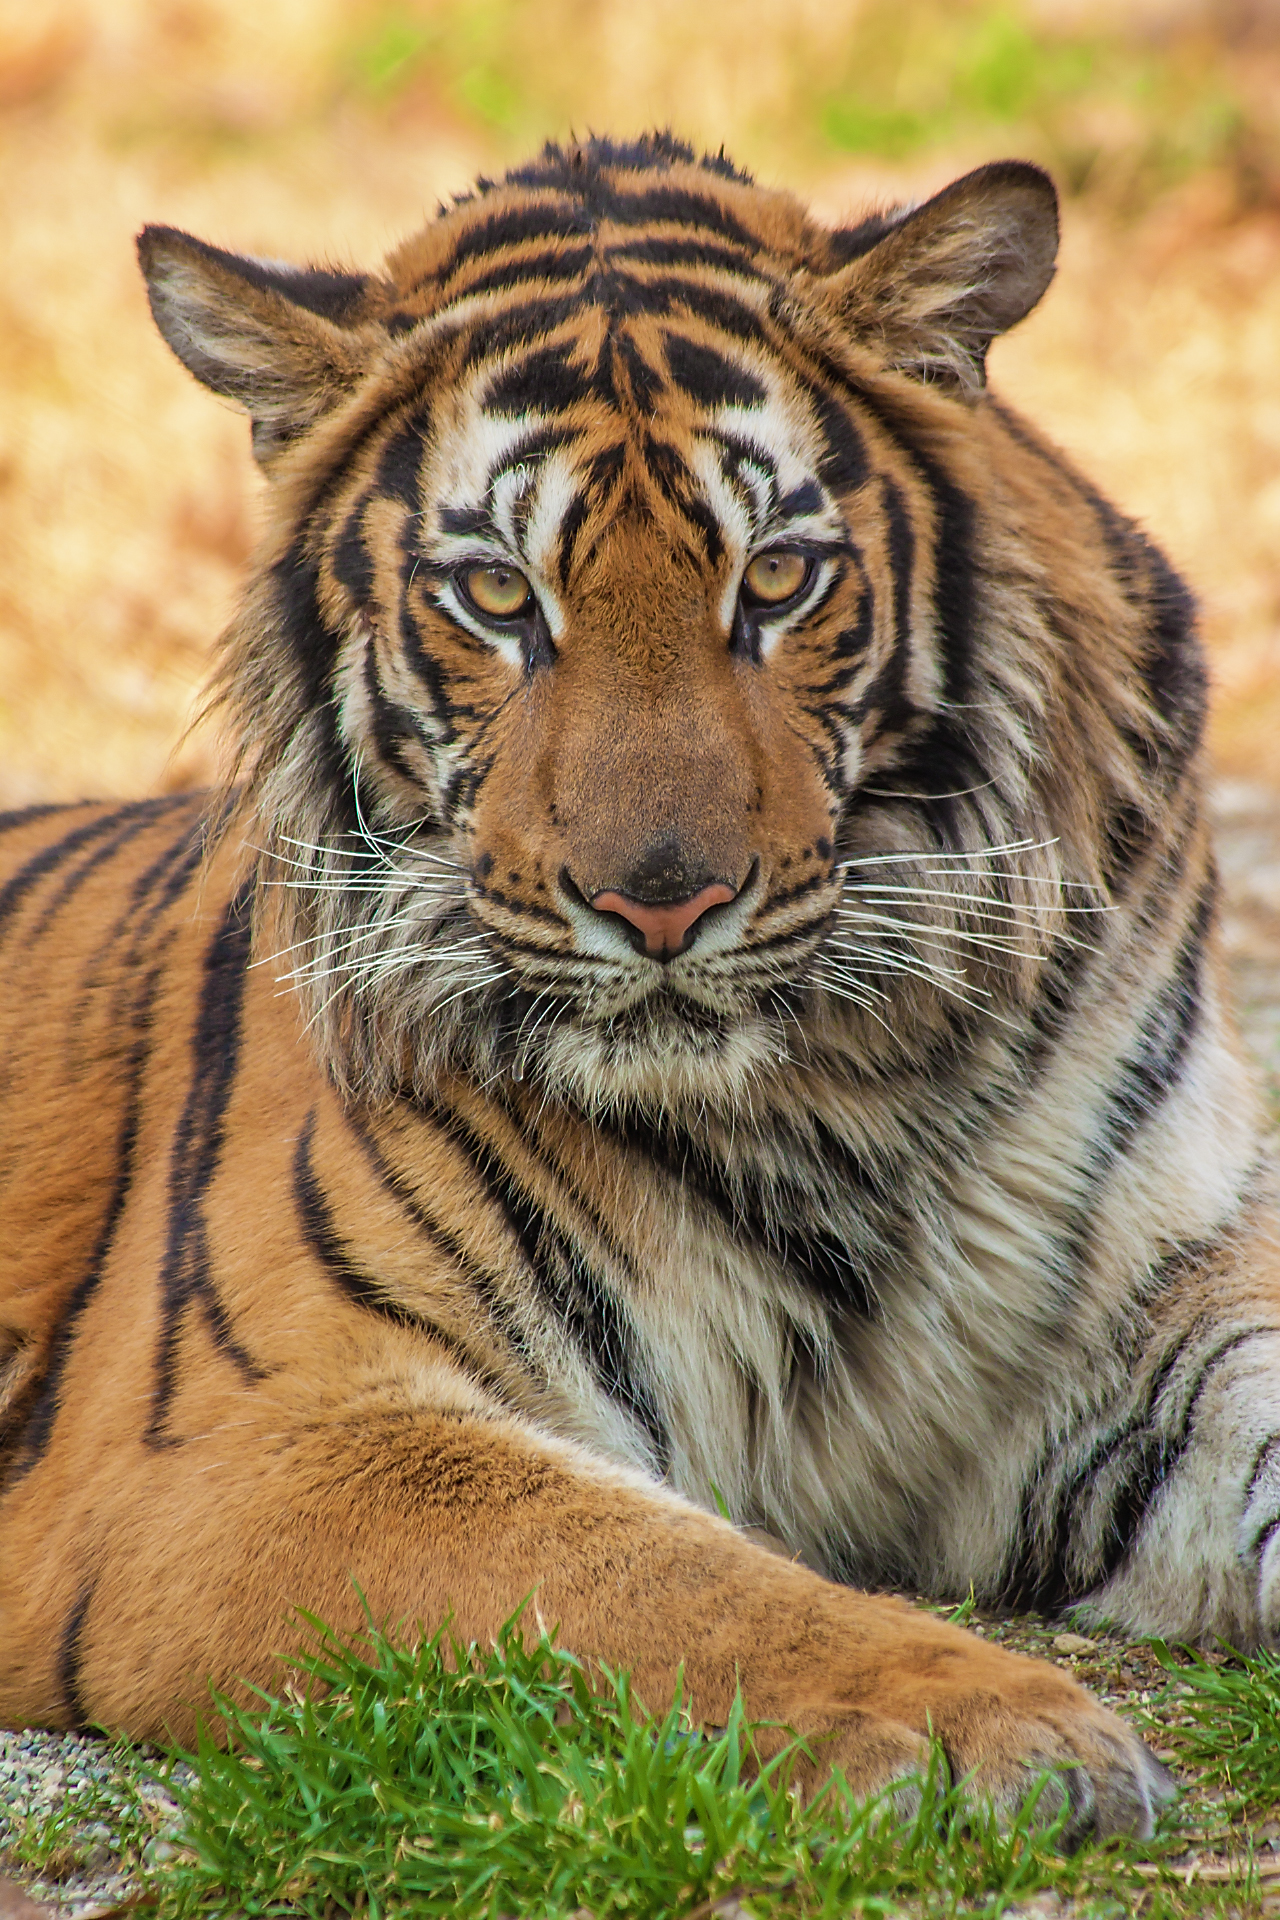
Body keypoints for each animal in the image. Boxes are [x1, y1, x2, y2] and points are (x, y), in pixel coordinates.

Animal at [2, 130, 1276, 1840]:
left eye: (781, 579)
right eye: (495, 597)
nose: (658, 901)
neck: (843, 1090)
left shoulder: (1157, 1315)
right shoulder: (254, 1434)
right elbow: (656, 1576)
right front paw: (1002, 1730)